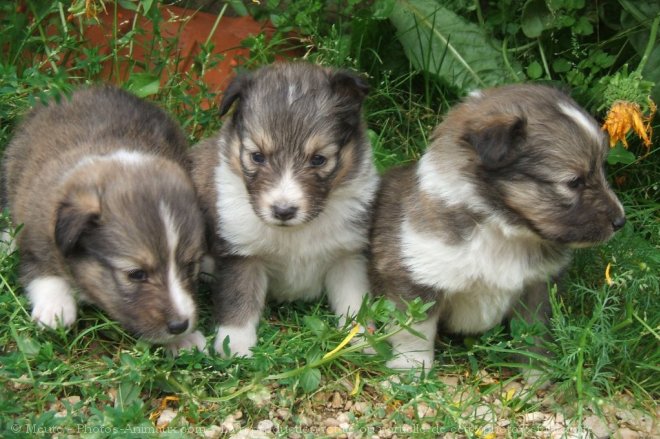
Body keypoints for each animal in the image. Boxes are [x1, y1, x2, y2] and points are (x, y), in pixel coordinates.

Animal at [1, 86, 206, 354]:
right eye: (136, 274)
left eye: (190, 266)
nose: (180, 325)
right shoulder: (35, 234)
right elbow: (40, 268)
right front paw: (56, 307)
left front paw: (184, 340)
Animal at [188, 62, 378, 358]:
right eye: (257, 156)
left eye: (318, 159)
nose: (283, 211)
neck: (296, 232)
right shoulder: (243, 255)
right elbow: (238, 298)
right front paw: (236, 345)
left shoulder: (348, 255)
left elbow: (355, 300)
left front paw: (361, 339)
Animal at [368, 83, 628, 372]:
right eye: (574, 182)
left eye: (602, 168)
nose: (621, 221)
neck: (502, 230)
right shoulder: (417, 278)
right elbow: (414, 334)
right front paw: (409, 371)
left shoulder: (537, 289)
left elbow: (534, 335)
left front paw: (536, 373)